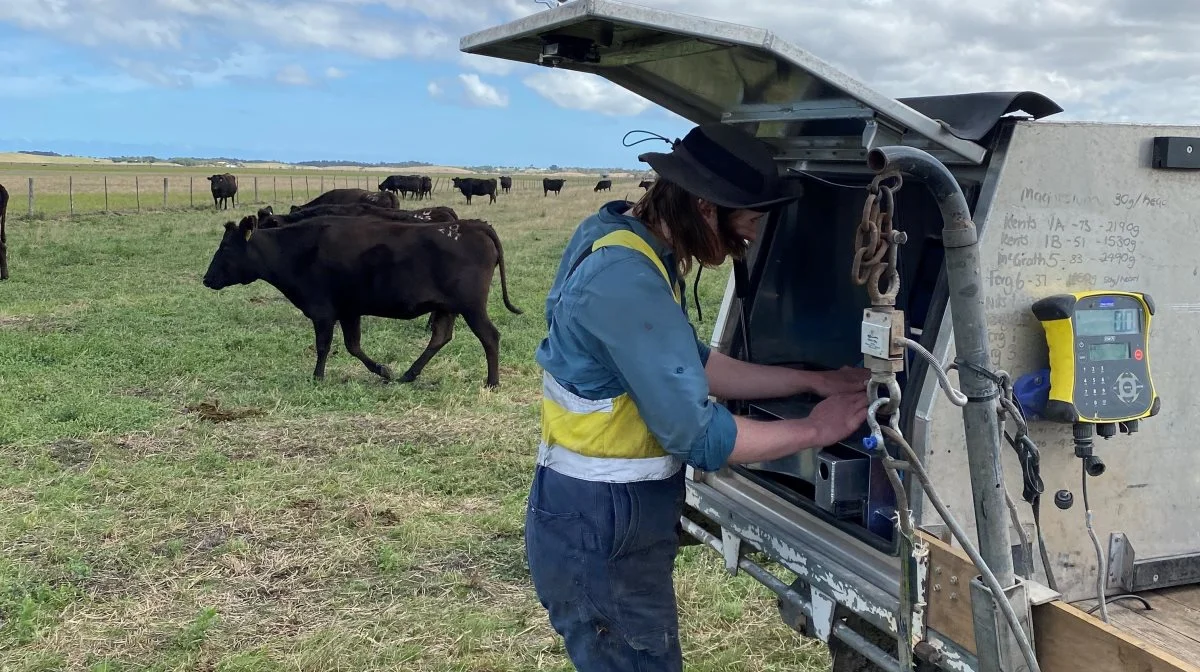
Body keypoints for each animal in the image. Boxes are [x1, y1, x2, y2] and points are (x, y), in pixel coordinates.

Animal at [201, 212, 520, 386]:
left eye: (226, 248)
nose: (206, 279)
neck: (293, 249)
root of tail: (473, 225)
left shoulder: (322, 310)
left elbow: (324, 346)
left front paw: (317, 377)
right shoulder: (348, 310)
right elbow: (353, 346)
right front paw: (383, 370)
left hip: (472, 307)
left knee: (490, 337)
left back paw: (492, 382)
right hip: (446, 307)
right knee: (440, 337)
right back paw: (408, 374)